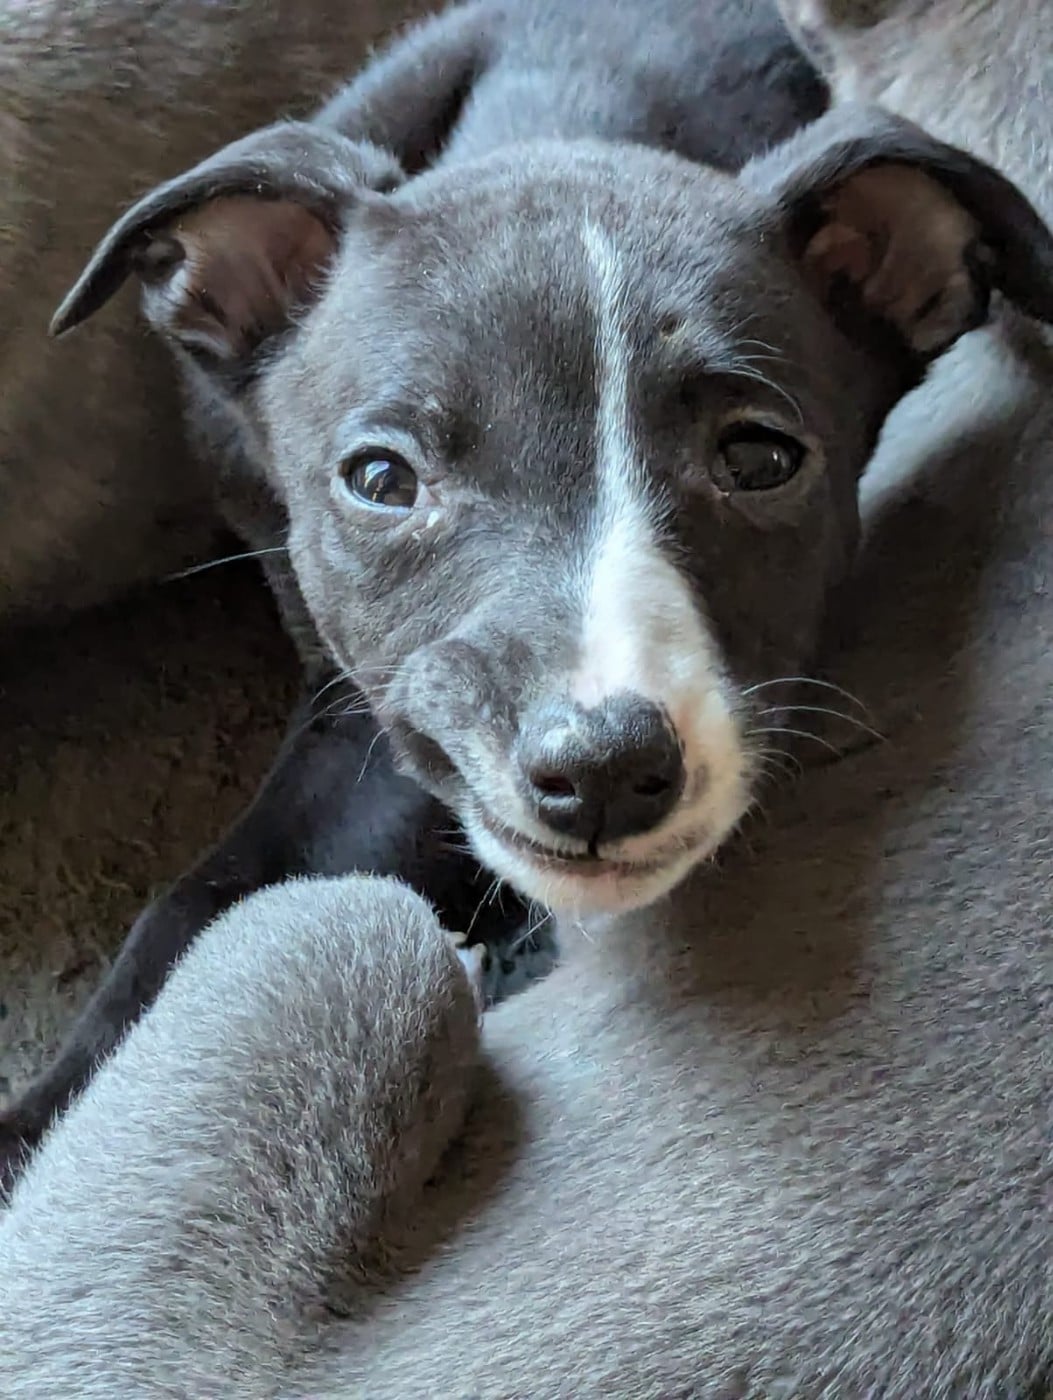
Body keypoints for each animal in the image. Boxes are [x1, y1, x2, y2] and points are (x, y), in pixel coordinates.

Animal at [0, 0, 830, 1177]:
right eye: (382, 479)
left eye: (757, 459)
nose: (608, 768)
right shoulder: (361, 698)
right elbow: (202, 895)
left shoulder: (384, 736)